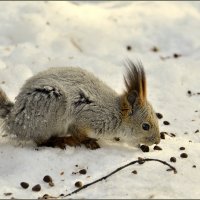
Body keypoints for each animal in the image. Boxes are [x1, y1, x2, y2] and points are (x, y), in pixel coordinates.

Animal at [0, 60, 160, 149]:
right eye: (145, 126)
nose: (157, 141)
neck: (116, 113)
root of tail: (13, 118)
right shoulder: (86, 119)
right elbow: (78, 133)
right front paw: (88, 141)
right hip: (50, 113)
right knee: (40, 141)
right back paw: (59, 141)